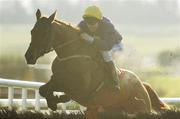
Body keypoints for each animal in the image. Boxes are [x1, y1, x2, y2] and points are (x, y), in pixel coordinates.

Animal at [24, 9, 169, 119]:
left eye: (45, 33)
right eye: (32, 31)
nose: (28, 56)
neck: (71, 55)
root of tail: (143, 85)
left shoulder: (81, 89)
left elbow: (67, 93)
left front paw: (57, 99)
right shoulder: (56, 79)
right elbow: (43, 89)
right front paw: (52, 101)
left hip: (141, 109)